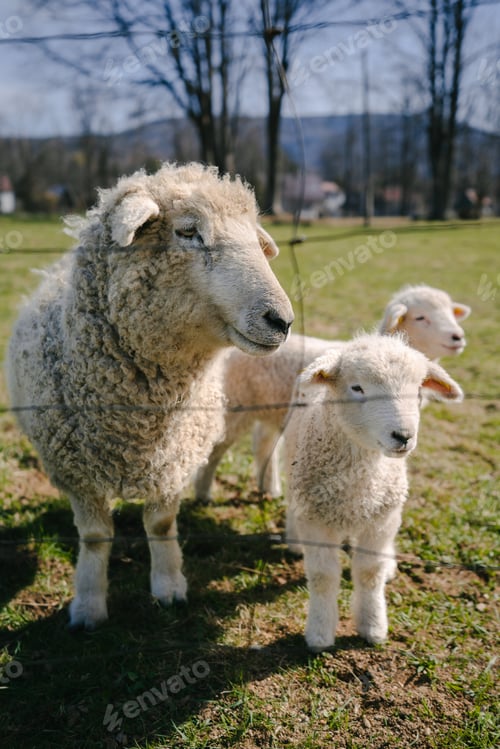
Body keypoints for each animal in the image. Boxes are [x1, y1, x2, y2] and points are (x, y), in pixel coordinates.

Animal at [5, 162, 294, 630]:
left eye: (255, 237)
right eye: (188, 231)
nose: (281, 321)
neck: (141, 420)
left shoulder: (173, 461)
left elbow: (160, 525)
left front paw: (169, 587)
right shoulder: (76, 472)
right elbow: (95, 536)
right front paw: (88, 606)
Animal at [194, 284, 470, 500]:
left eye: (451, 313)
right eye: (421, 317)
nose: (458, 337)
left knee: (263, 442)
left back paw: (269, 488)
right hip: (237, 404)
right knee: (216, 448)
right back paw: (203, 493)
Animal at [283, 333, 463, 651]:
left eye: (418, 390)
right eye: (357, 388)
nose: (403, 436)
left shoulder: (381, 520)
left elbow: (370, 572)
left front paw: (373, 626)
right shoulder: (316, 520)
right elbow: (322, 576)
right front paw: (320, 633)